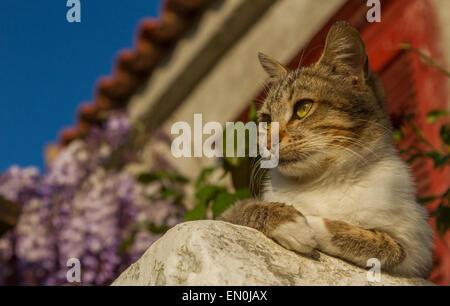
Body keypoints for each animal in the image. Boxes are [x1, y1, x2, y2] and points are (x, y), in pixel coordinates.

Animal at [220, 21, 434, 278]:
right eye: (266, 120)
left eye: (303, 108)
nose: (268, 143)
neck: (322, 180)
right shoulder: (227, 214)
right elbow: (245, 208)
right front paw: (290, 221)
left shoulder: (416, 249)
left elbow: (381, 243)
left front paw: (312, 223)